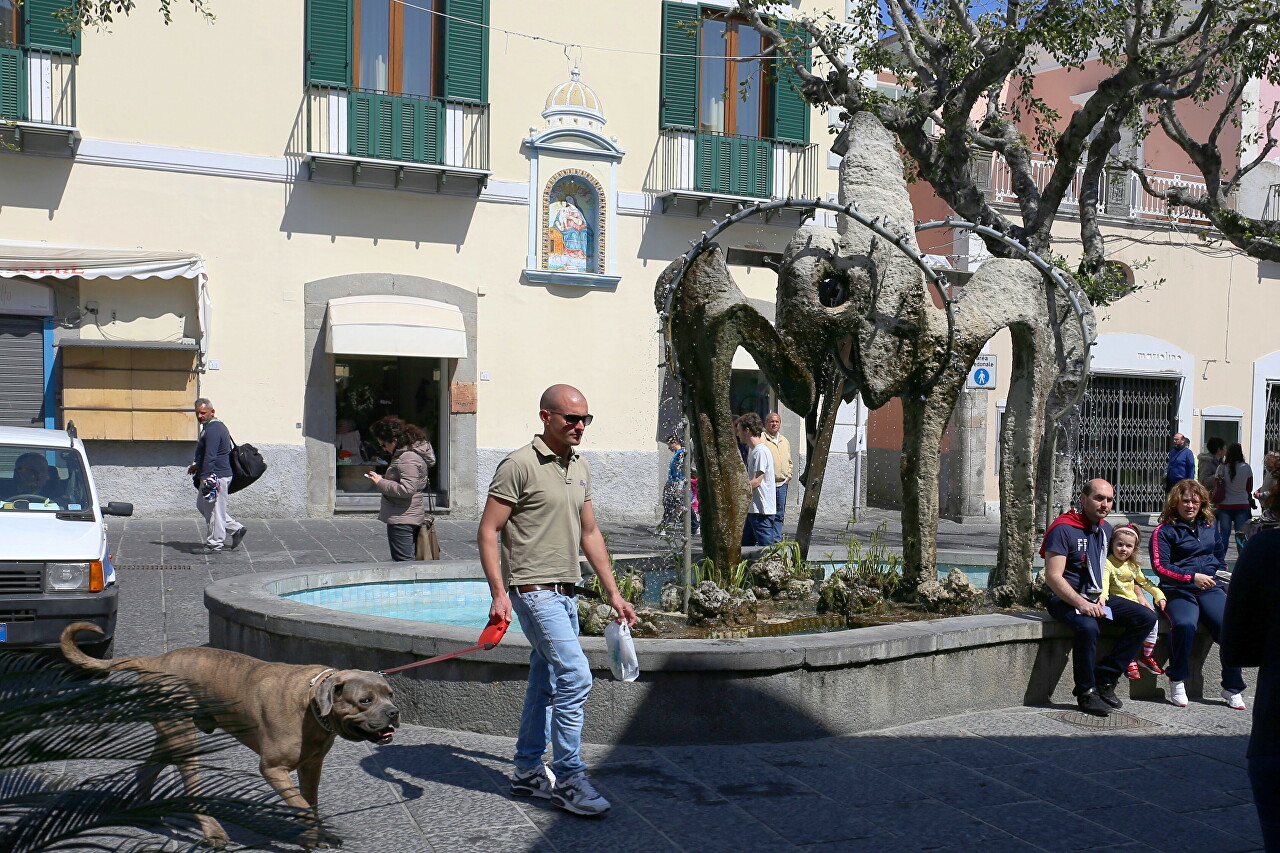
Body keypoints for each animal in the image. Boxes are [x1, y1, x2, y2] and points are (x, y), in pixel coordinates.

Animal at [60, 622, 396, 845]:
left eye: (390, 694)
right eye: (365, 700)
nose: (394, 712)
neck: (311, 703)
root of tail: (154, 660)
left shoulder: (312, 765)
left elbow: (309, 800)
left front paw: (318, 833)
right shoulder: (273, 768)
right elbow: (301, 805)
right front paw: (311, 834)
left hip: (170, 731)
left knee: (147, 767)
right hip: (183, 737)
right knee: (190, 785)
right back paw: (212, 831)